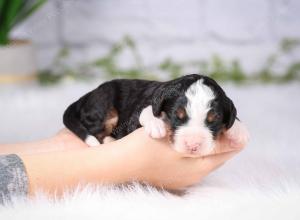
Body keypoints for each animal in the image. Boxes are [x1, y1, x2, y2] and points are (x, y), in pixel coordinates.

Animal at [63, 74, 248, 155]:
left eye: (213, 121)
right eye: (177, 116)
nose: (193, 146)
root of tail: (87, 96)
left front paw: (239, 130)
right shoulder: (136, 115)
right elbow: (148, 111)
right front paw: (156, 125)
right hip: (104, 106)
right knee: (95, 130)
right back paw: (109, 140)